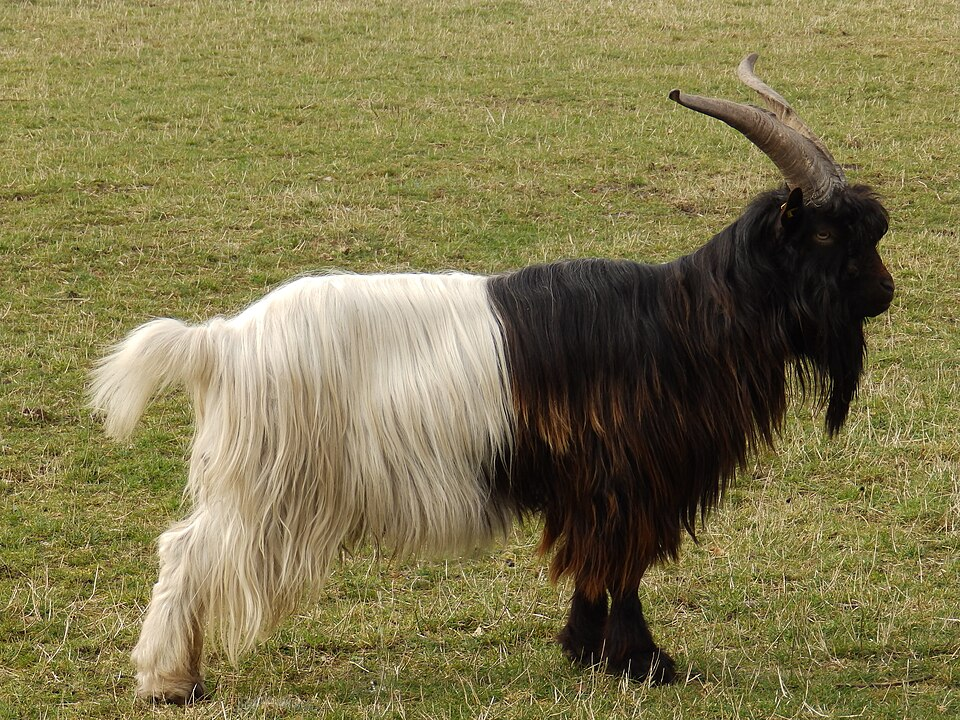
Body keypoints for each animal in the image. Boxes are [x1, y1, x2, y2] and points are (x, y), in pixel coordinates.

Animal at [90, 54, 894, 703]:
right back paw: (169, 681)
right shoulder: (626, 479)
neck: (683, 323)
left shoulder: (591, 486)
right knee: (187, 552)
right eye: (828, 234)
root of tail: (221, 342)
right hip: (270, 482)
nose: (885, 294)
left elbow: (595, 567)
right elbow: (624, 566)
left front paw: (585, 650)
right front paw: (643, 663)